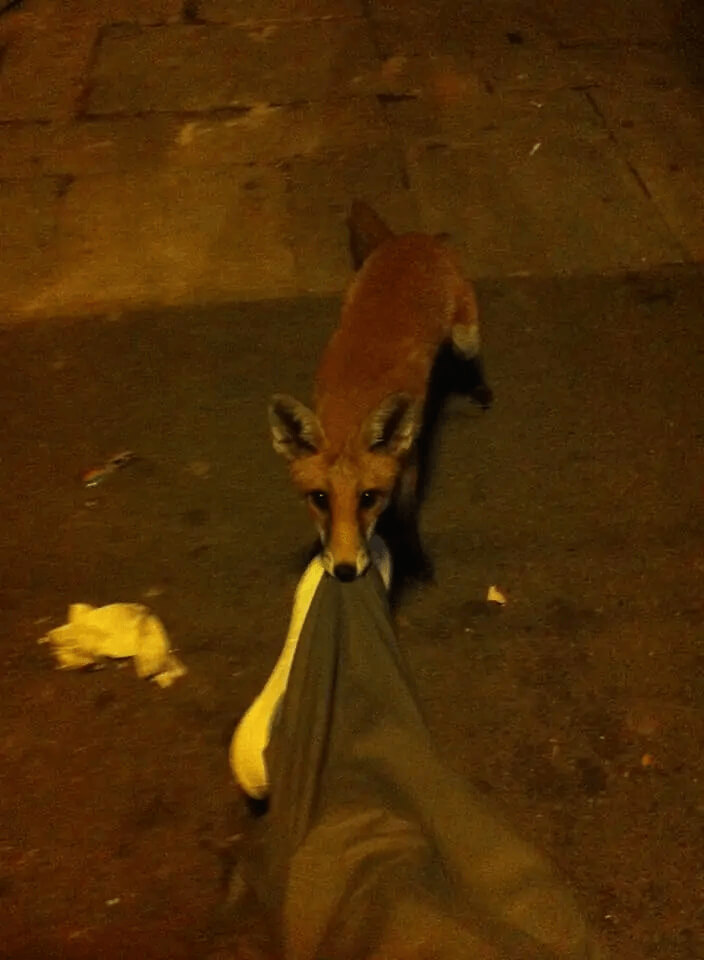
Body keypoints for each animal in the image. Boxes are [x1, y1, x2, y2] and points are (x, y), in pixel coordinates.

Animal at [269, 201, 490, 582]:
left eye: (368, 498)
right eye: (320, 499)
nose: (344, 571)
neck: (353, 403)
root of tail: (408, 239)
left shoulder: (409, 460)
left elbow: (405, 514)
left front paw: (414, 558)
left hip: (466, 336)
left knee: (466, 357)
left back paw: (477, 386)